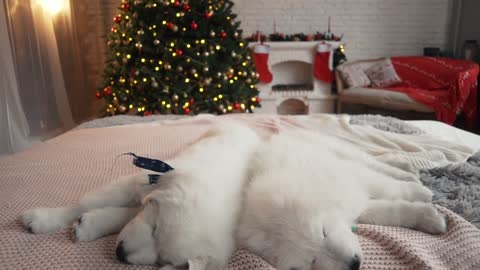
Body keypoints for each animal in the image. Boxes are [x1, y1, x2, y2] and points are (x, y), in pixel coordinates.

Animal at [21, 123, 262, 268]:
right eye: (154, 227)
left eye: (162, 259)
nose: (120, 254)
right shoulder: (143, 182)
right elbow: (88, 203)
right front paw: (43, 219)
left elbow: (124, 215)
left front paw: (90, 225)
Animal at [238, 130, 448, 268]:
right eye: (312, 261)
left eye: (323, 232)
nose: (354, 264)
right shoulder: (357, 204)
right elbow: (392, 212)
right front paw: (429, 218)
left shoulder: (352, 179)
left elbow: (391, 189)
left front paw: (422, 196)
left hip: (341, 151)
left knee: (376, 162)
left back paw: (408, 171)